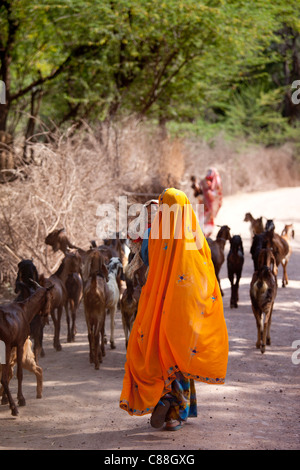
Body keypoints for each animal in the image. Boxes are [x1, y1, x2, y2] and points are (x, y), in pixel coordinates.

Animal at [0, 284, 53, 416]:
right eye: (51, 297)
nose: (46, 316)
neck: (25, 310)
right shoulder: (18, 344)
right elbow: (19, 373)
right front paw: (21, 399)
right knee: (3, 378)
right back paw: (14, 408)